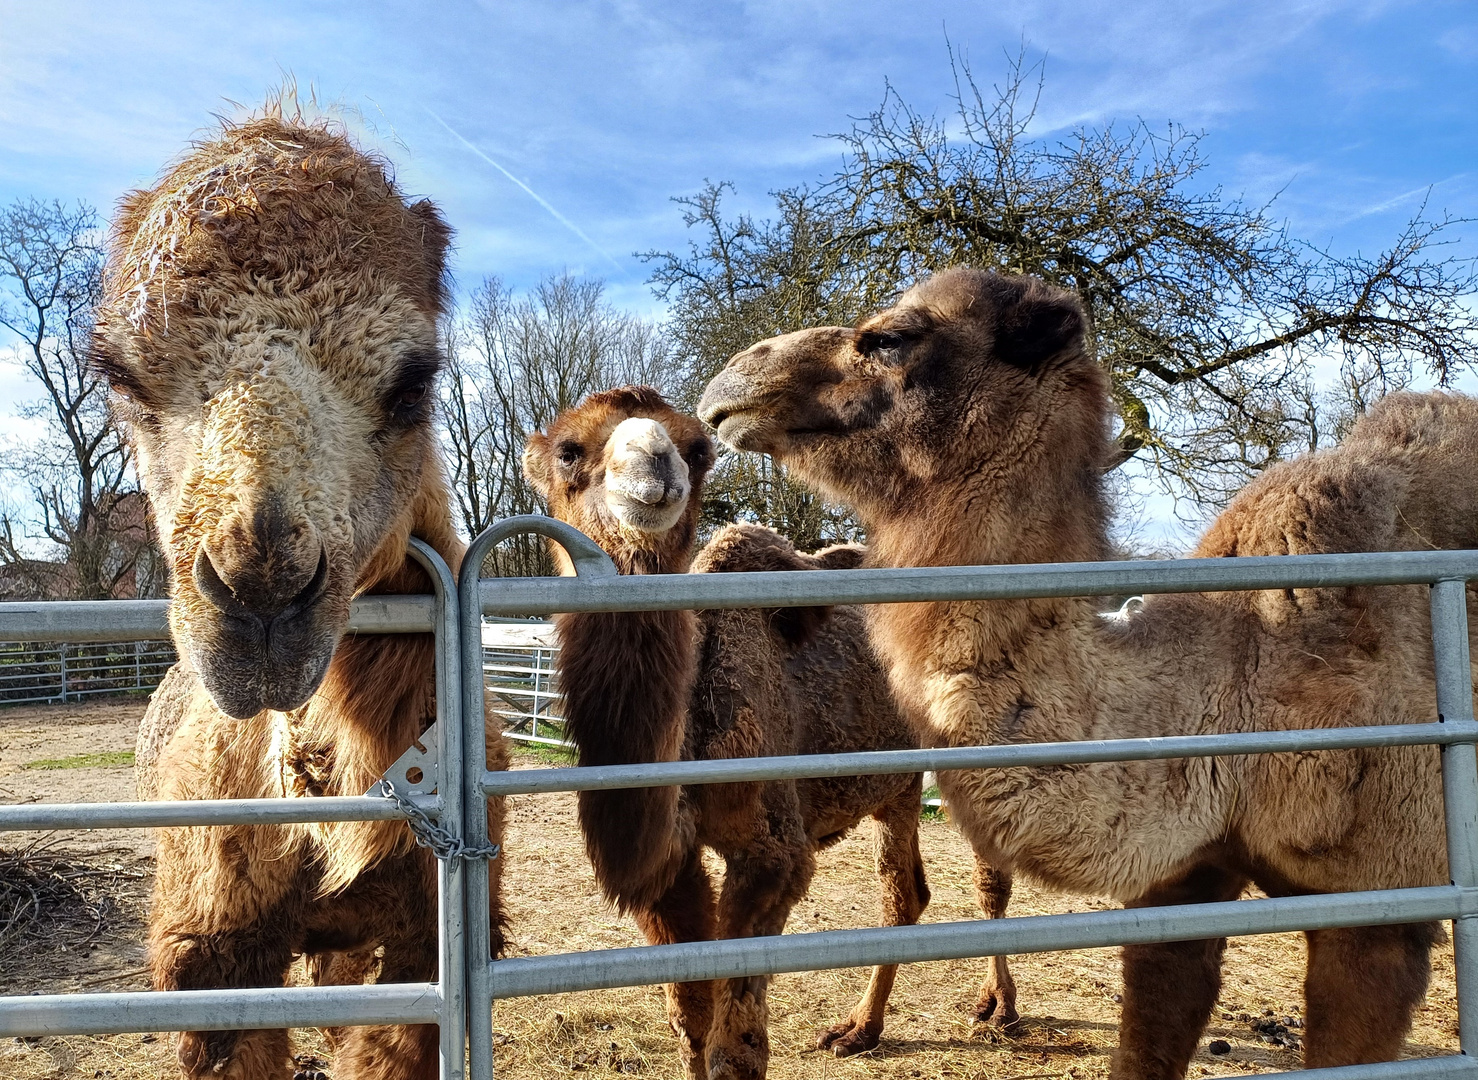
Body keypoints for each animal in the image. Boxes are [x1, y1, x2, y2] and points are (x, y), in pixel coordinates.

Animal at [520, 390, 1016, 1080]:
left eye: (700, 449)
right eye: (569, 451)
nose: (654, 464)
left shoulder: (772, 854)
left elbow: (736, 1047)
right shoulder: (665, 869)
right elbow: (690, 1019)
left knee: (988, 873)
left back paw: (1001, 1009)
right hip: (897, 779)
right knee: (905, 892)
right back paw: (861, 1029)